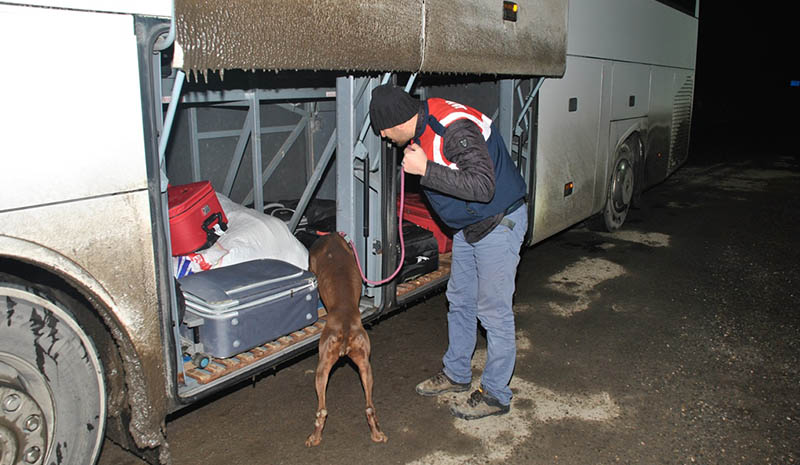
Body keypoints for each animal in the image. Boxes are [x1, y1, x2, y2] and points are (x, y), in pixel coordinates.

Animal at [304, 234, 388, 448]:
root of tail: (346, 328)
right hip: (365, 365)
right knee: (369, 407)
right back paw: (377, 434)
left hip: (322, 367)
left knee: (322, 410)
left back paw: (314, 438)